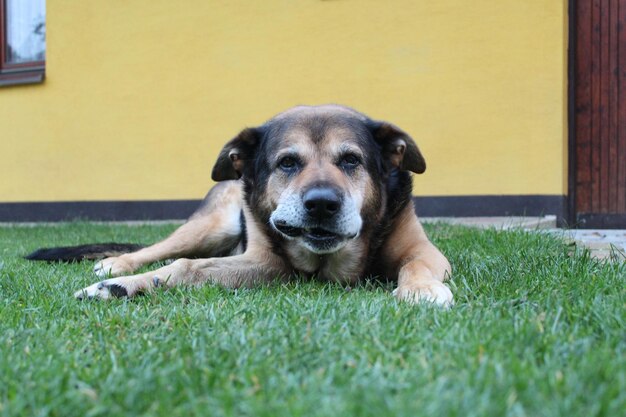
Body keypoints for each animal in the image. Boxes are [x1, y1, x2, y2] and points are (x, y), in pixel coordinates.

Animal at [29, 104, 450, 306]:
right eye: (287, 163)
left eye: (351, 160)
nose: (321, 205)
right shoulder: (265, 262)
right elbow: (184, 267)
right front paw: (118, 285)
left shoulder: (425, 250)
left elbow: (415, 265)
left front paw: (421, 290)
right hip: (213, 226)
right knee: (160, 249)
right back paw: (117, 264)